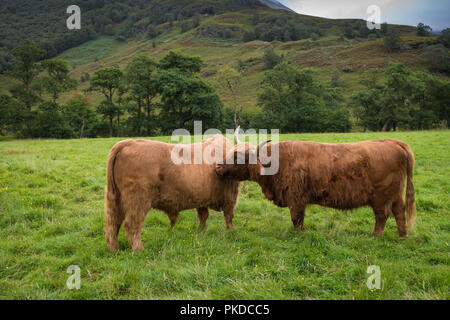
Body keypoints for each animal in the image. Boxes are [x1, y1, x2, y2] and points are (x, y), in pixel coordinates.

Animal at [104, 134, 241, 251]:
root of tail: (129, 142)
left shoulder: (202, 198)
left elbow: (203, 216)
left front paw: (201, 231)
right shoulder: (230, 196)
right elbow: (229, 216)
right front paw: (231, 231)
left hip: (115, 197)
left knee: (113, 223)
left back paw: (113, 248)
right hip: (138, 199)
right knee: (132, 223)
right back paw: (138, 249)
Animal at [216, 127, 416, 238]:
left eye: (237, 157)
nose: (217, 167)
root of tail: (393, 142)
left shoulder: (296, 198)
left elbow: (296, 219)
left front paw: (300, 234)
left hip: (382, 196)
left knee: (382, 215)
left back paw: (375, 236)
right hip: (395, 194)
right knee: (399, 212)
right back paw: (402, 236)